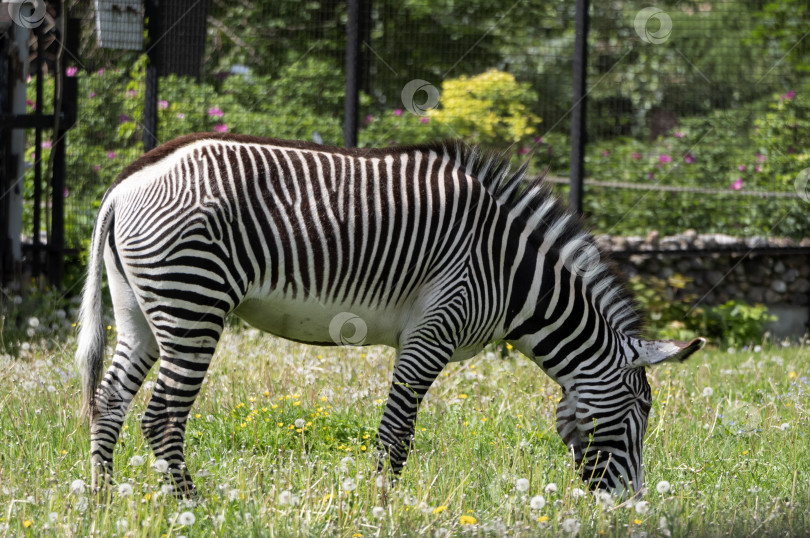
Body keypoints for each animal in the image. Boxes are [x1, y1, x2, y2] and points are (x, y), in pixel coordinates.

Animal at [76, 133, 700, 494]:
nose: (628, 505)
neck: (509, 269)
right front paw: (383, 507)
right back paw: (191, 506)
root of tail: (126, 182)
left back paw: (105, 499)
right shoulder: (434, 330)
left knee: (109, 401)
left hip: (140, 311)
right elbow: (397, 431)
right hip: (193, 301)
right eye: (641, 413)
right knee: (161, 416)